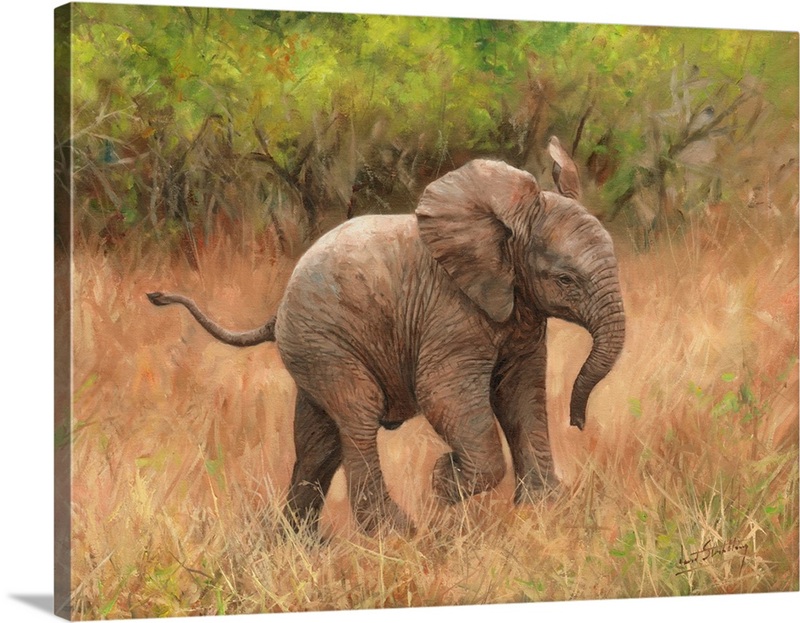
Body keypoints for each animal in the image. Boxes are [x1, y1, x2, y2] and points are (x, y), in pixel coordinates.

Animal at [147, 140, 625, 535]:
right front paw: (443, 483)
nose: (578, 423)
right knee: (357, 414)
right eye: (565, 280)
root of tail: (279, 308)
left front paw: (544, 511)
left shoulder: (518, 311)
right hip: (325, 343)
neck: (503, 227)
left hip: (313, 349)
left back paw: (298, 542)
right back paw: (395, 533)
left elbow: (521, 394)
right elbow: (444, 394)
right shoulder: (450, 312)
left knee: (319, 440)